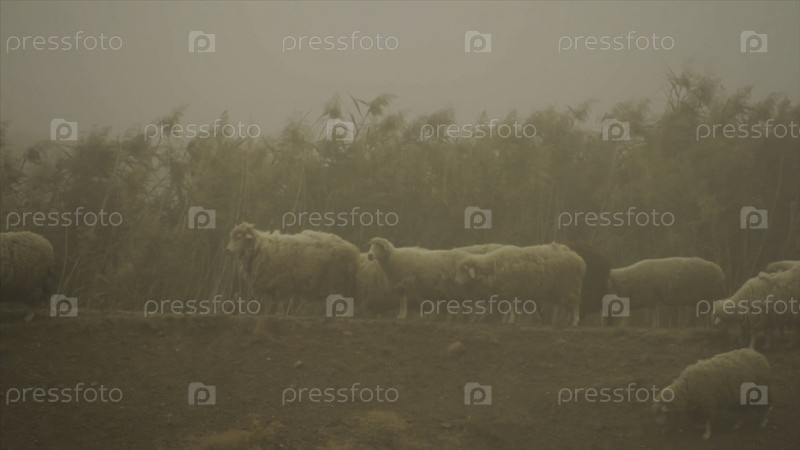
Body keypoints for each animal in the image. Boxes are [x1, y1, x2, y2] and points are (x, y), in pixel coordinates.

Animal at [226, 223, 360, 316]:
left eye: (239, 238)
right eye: (232, 237)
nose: (228, 250)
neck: (260, 247)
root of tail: (353, 250)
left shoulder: (281, 283)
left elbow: (280, 302)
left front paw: (279, 314)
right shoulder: (270, 284)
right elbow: (270, 303)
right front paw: (268, 314)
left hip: (336, 280)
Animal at [453, 243, 586, 326]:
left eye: (464, 270)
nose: (456, 282)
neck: (493, 268)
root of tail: (578, 259)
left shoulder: (512, 290)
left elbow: (511, 307)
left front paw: (510, 320)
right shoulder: (507, 292)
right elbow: (508, 307)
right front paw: (507, 320)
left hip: (570, 287)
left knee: (574, 305)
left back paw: (574, 321)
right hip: (561, 290)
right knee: (567, 306)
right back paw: (565, 321)